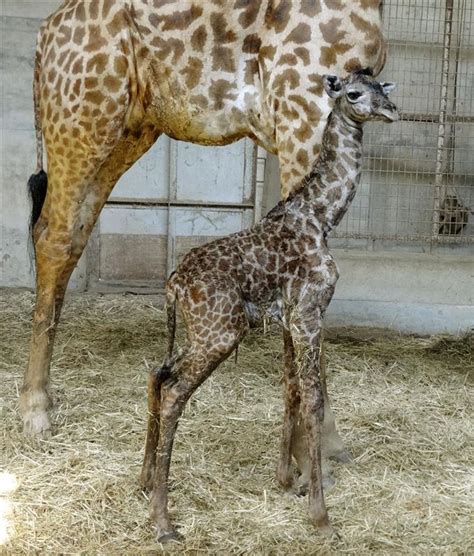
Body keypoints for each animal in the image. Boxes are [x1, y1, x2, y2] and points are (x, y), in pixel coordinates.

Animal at [21, 0, 386, 486]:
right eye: (358, 94)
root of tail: (45, 34)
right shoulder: (303, 105)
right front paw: (316, 459)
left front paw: (303, 456)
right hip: (82, 121)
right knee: (54, 235)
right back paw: (35, 411)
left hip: (128, 130)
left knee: (73, 231)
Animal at [141, 70, 396, 544]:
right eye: (353, 93)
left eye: (382, 88)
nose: (390, 111)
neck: (323, 217)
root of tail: (173, 285)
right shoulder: (309, 312)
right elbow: (314, 398)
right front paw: (320, 516)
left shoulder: (288, 317)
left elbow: (290, 389)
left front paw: (287, 481)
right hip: (221, 333)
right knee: (174, 392)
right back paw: (164, 523)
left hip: (201, 331)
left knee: (157, 373)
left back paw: (145, 480)